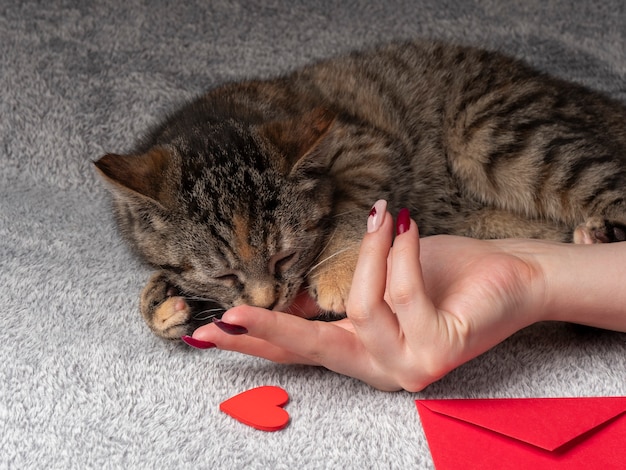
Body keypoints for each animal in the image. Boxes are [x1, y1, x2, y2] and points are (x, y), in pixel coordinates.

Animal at [95, 38, 624, 340]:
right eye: (224, 275)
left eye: (285, 258)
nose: (267, 303)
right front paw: (164, 306)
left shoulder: (368, 148)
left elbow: (353, 202)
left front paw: (338, 270)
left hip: (496, 134)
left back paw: (601, 236)